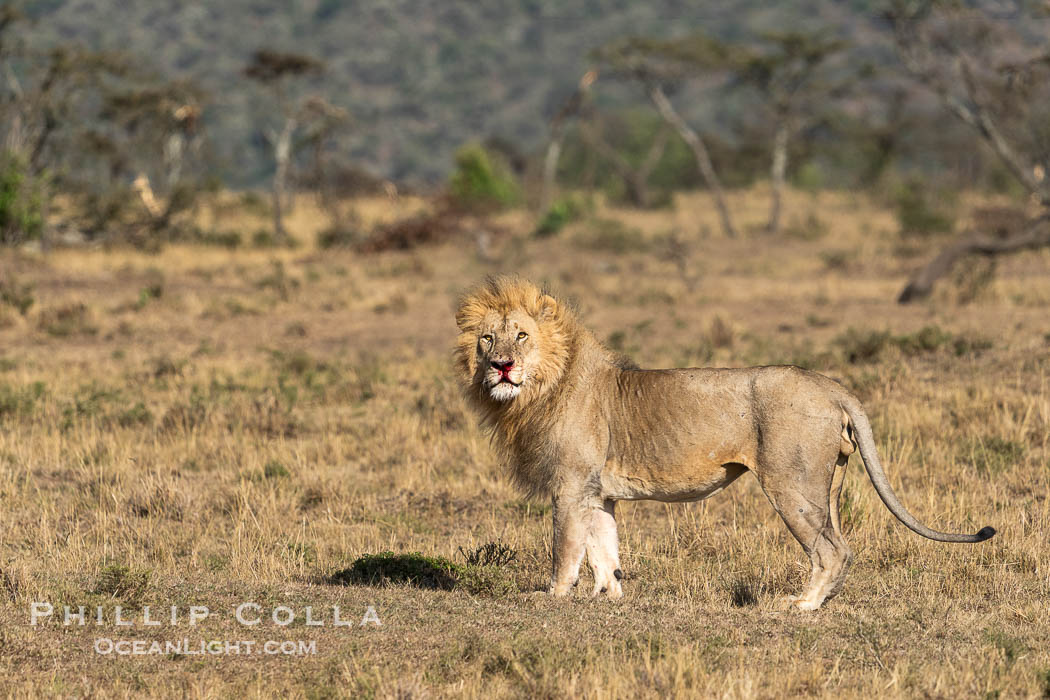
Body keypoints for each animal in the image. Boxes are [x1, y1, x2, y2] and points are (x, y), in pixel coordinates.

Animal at [454, 276, 996, 610]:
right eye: (487, 339)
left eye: (522, 336)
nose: (501, 366)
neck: (537, 391)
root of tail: (831, 384)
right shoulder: (597, 491)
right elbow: (604, 548)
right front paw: (607, 596)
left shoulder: (569, 485)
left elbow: (565, 547)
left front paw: (552, 597)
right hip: (830, 484)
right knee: (841, 542)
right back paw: (822, 600)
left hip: (791, 484)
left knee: (832, 549)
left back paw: (803, 605)